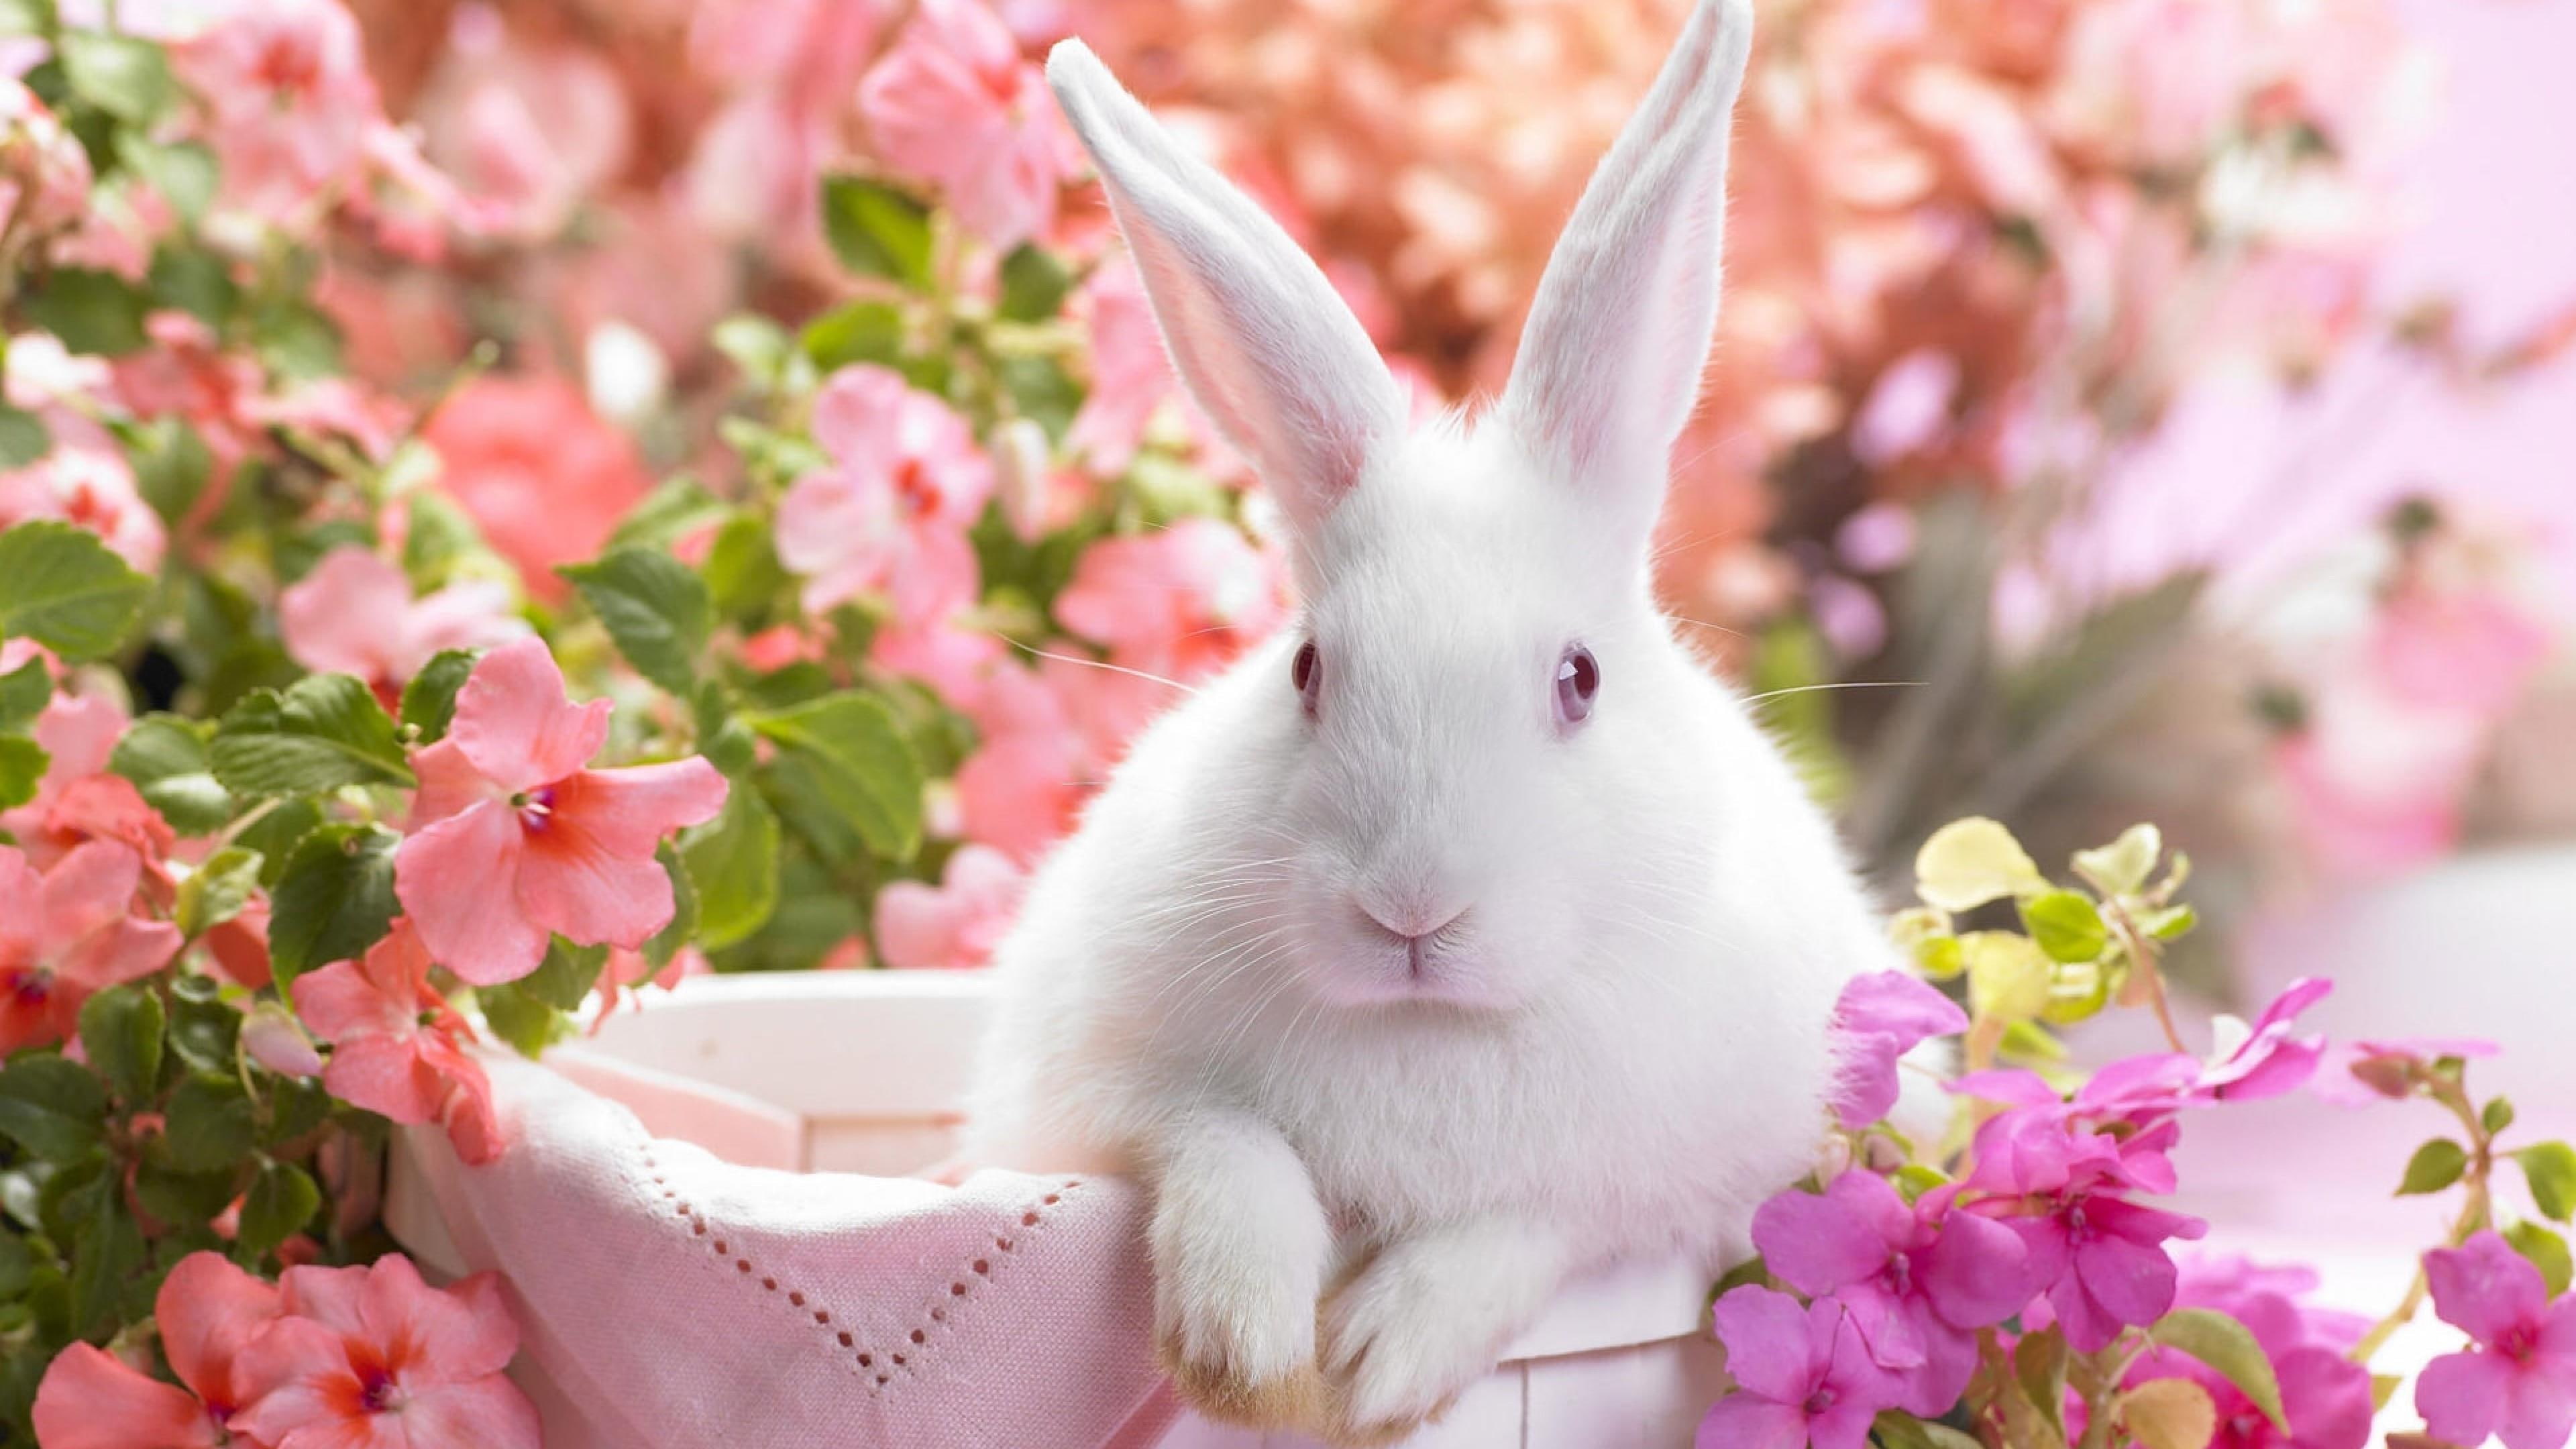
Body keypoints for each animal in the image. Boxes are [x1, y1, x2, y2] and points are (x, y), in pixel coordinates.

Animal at [961, 0, 1897, 1440]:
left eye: (1579, 678)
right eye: (1306, 670)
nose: (1411, 910)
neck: (1427, 1031)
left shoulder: (1684, 1179)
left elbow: (1532, 1224)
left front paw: (1376, 1361)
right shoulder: (1091, 1090)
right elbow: (1218, 1139)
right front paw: (1243, 1346)